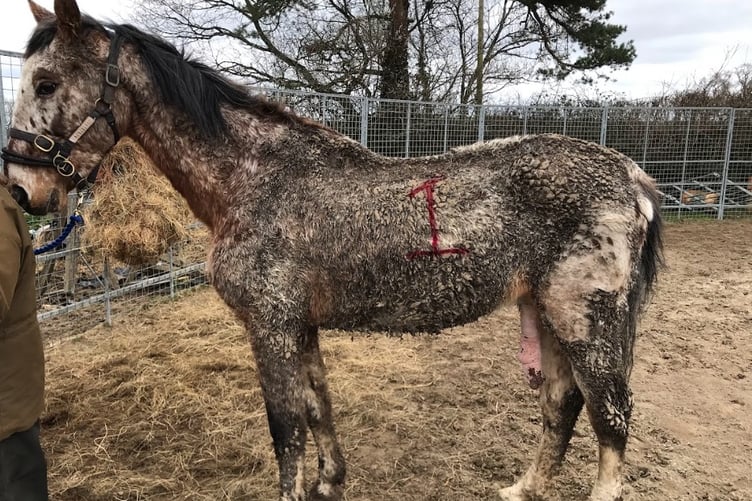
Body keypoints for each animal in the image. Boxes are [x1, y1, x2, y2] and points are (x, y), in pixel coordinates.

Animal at [3, 1, 663, 500]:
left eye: (46, 82)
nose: (21, 188)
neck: (256, 179)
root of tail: (633, 177)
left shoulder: (269, 326)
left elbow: (285, 428)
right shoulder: (299, 325)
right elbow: (317, 406)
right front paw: (329, 482)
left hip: (587, 320)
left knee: (610, 418)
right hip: (548, 315)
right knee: (561, 404)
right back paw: (522, 489)